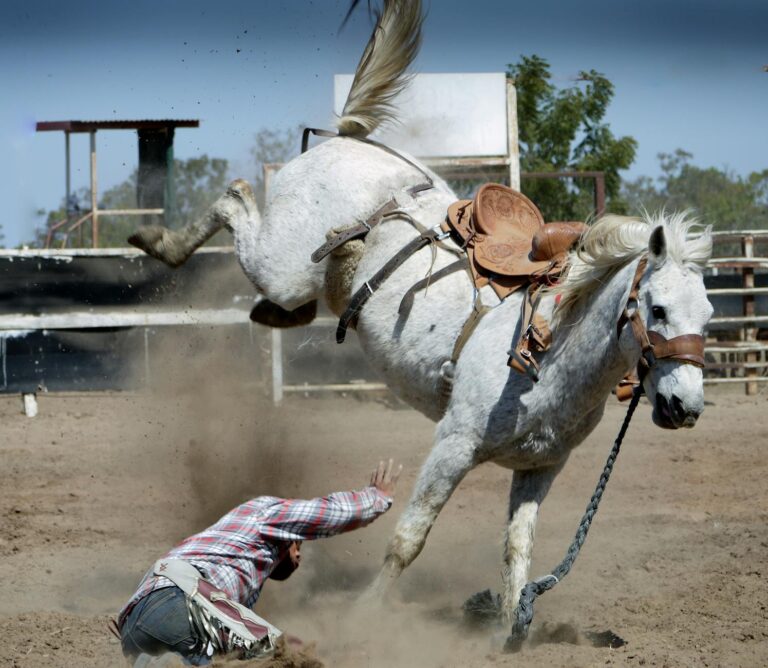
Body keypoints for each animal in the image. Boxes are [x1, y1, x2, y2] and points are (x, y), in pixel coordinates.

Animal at [129, 0, 714, 641]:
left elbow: (517, 552)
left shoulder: (541, 467)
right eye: (657, 308)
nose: (686, 407)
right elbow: (409, 538)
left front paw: (508, 631)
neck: (551, 350)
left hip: (300, 280)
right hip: (280, 263)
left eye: (709, 316)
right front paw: (363, 617)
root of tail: (348, 141)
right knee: (234, 198)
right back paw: (159, 241)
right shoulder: (452, 445)